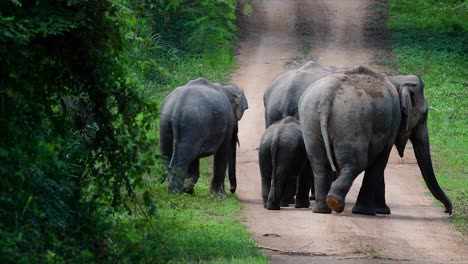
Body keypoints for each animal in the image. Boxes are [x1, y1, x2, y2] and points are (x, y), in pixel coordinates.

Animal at [298, 65, 452, 214]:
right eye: (425, 114)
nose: (447, 211)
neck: (396, 79)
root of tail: (327, 97)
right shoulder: (392, 123)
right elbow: (380, 162)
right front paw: (370, 212)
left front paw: (381, 210)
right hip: (352, 122)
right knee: (357, 163)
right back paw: (335, 202)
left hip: (310, 121)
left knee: (319, 164)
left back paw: (322, 210)